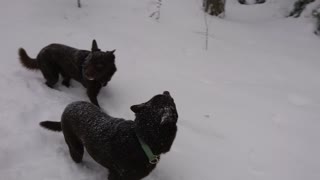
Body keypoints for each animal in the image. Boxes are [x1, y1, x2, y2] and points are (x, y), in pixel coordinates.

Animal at [39, 91, 179, 180]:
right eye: (172, 101)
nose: (166, 91)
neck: (140, 139)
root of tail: (68, 106)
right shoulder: (116, 176)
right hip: (76, 148)